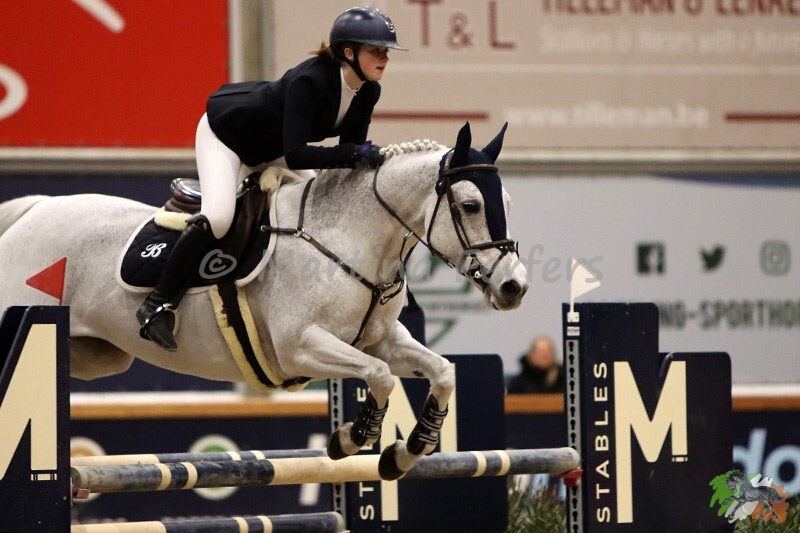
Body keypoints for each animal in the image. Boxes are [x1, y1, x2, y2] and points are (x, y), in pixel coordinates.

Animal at [0, 122, 528, 479]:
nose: (513, 287)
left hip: (97, 357)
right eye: (470, 205)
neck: (348, 237)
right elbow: (378, 376)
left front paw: (405, 451)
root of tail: (34, 209)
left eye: (506, 201)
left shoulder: (381, 339)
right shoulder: (300, 348)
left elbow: (442, 371)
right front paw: (350, 439)